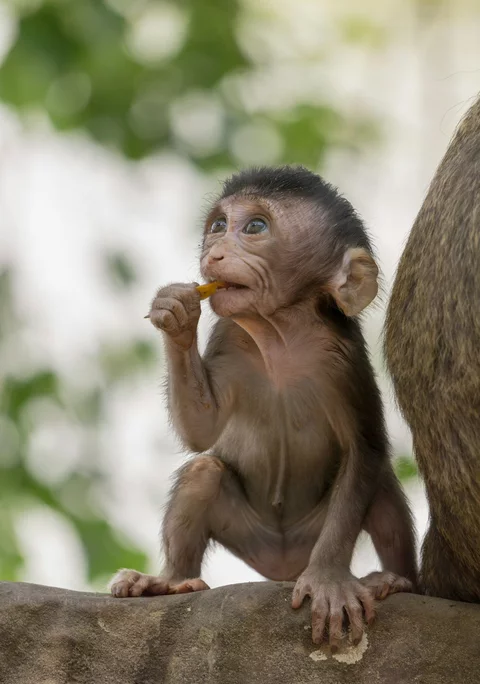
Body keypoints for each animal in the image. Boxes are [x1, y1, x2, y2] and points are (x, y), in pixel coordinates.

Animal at [110, 166, 417, 649]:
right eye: (218, 226)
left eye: (255, 227)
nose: (214, 252)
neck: (278, 337)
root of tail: (282, 567)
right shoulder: (230, 336)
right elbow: (202, 429)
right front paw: (176, 313)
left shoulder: (343, 359)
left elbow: (365, 450)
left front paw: (329, 580)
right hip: (251, 535)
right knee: (204, 471)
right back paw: (170, 581)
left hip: (312, 534)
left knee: (381, 484)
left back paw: (397, 580)